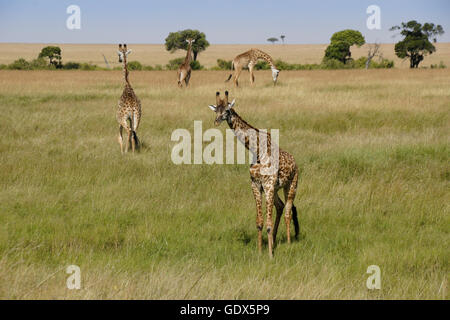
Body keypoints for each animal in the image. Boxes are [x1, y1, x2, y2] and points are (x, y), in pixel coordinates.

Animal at [207, 91, 298, 258]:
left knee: (288, 211)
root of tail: (295, 162)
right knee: (280, 206)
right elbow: (259, 222)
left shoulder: (268, 186)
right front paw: (261, 251)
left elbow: (267, 223)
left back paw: (288, 243)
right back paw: (275, 239)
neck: (257, 151)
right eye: (216, 110)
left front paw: (270, 255)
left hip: (291, 185)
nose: (216, 121)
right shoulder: (256, 185)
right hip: (276, 189)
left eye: (227, 111)